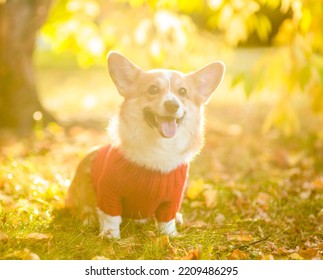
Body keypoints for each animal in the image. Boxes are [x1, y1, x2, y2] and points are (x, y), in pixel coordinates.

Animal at [66, 52, 225, 238]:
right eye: (153, 89)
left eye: (183, 92)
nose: (173, 105)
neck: (160, 146)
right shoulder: (109, 192)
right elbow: (111, 217)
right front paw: (110, 237)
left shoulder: (172, 198)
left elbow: (167, 220)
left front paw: (169, 236)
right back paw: (89, 218)